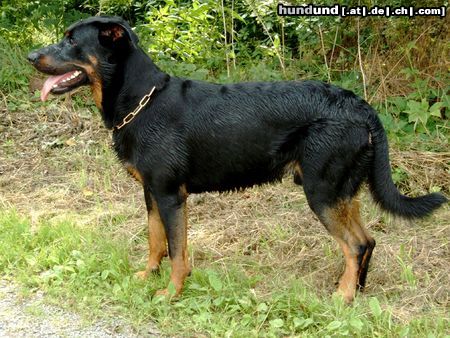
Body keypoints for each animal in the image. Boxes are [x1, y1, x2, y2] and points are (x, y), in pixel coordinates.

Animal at [29, 15, 446, 302]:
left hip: (322, 192)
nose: (32, 55)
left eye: (71, 41)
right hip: (342, 192)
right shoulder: (151, 193)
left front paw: (170, 294)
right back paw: (355, 291)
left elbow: (177, 253)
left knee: (355, 246)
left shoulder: (170, 195)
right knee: (367, 241)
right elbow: (155, 240)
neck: (140, 102)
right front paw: (147, 277)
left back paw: (343, 298)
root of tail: (361, 107)